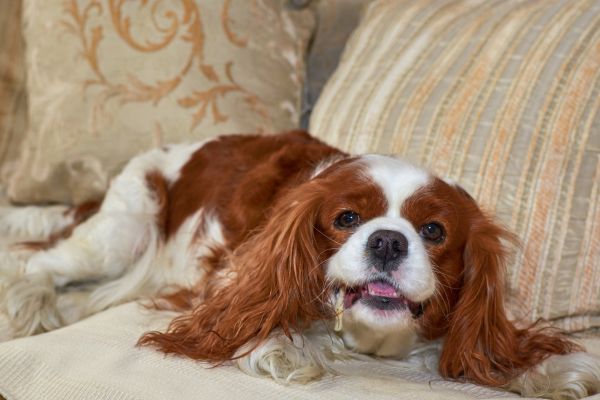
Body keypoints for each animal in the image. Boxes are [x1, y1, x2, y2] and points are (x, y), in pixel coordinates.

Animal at [1, 130, 600, 396]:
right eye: (346, 218)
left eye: (433, 230)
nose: (387, 241)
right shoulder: (231, 278)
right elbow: (246, 317)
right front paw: (282, 345)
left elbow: (490, 352)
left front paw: (551, 371)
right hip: (123, 230)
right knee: (42, 264)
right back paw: (28, 307)